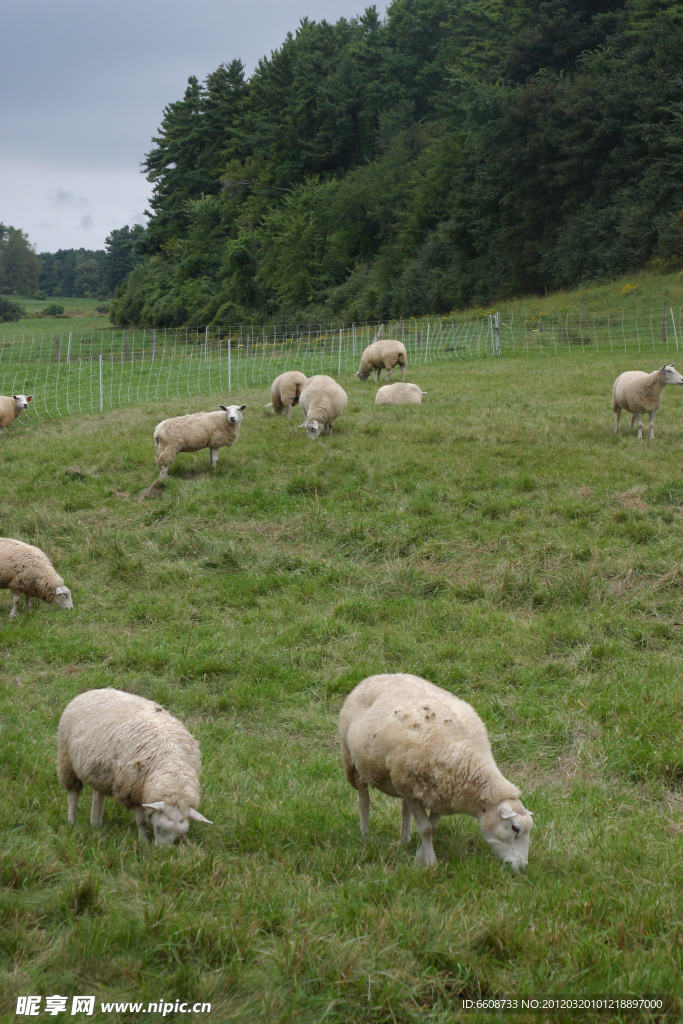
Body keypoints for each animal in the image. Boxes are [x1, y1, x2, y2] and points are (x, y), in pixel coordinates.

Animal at [58, 688, 210, 847]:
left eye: (181, 833)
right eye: (159, 827)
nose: (162, 851)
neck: (172, 768)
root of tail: (92, 691)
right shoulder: (132, 790)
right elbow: (141, 821)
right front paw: (143, 841)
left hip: (101, 770)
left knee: (99, 794)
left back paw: (96, 823)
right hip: (66, 759)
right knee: (73, 793)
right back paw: (72, 821)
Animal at [339, 671, 532, 872]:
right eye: (515, 828)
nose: (522, 867)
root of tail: (374, 677)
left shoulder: (443, 794)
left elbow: (431, 828)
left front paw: (420, 857)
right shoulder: (414, 789)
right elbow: (425, 829)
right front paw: (430, 863)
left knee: (404, 809)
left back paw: (404, 841)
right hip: (354, 763)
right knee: (364, 801)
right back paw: (365, 836)